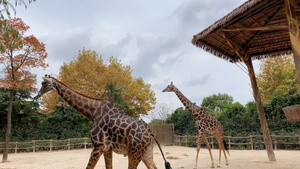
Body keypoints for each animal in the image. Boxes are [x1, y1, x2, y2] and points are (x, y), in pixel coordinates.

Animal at [35, 74, 171, 169]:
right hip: (146, 152)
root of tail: (151, 134)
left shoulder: (98, 145)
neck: (92, 112)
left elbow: (88, 167)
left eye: (43, 83)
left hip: (134, 152)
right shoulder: (107, 148)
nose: (38, 94)